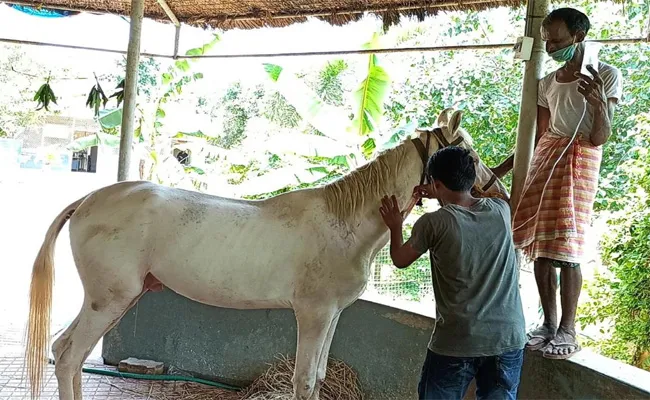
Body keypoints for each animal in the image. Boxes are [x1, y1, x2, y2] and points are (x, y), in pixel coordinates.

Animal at [26, 107, 506, 400]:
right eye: (466, 152)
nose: (497, 191)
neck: (345, 223)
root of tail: (88, 200)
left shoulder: (332, 315)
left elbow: (318, 378)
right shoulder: (312, 314)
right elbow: (302, 381)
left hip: (116, 300)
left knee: (67, 351)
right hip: (108, 300)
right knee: (68, 355)